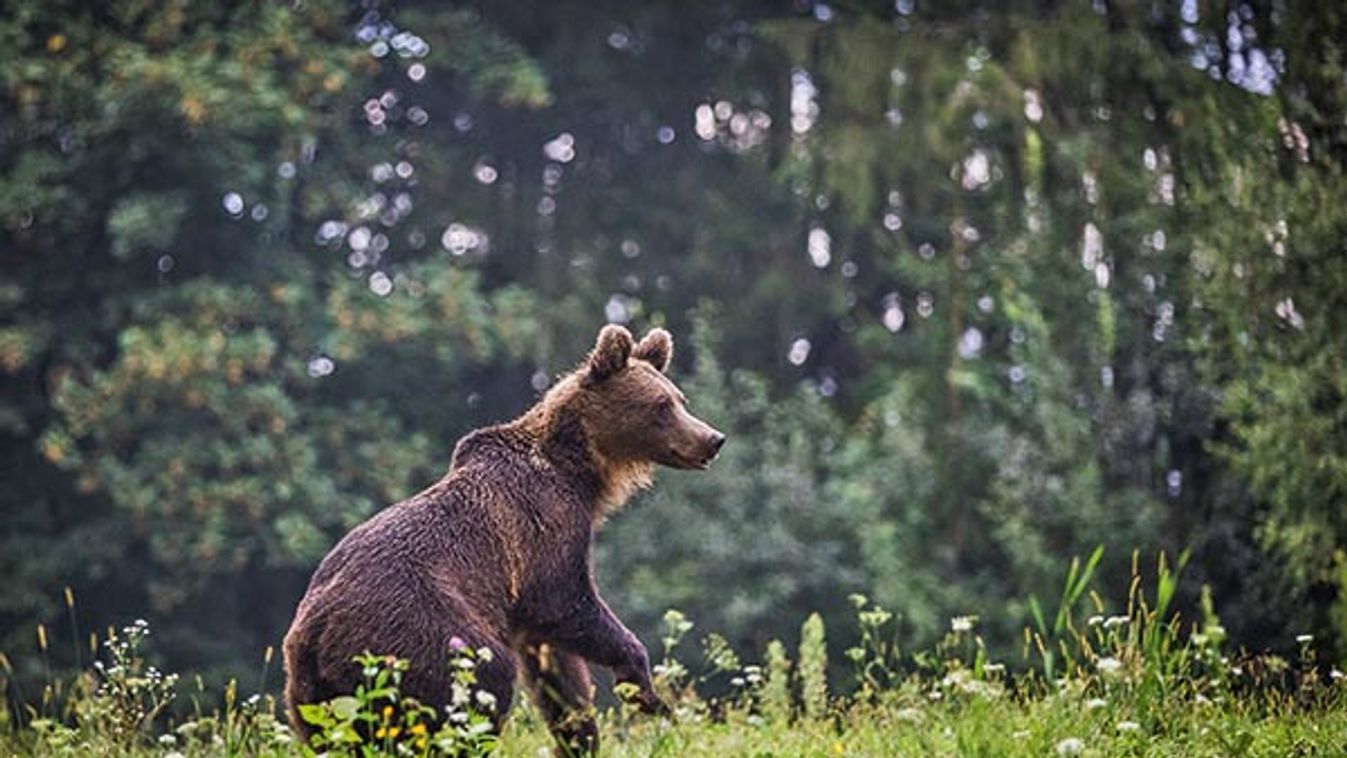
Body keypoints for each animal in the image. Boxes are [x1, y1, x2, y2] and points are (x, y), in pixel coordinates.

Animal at [284, 324, 727, 753]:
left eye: (680, 399)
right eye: (661, 405)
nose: (712, 439)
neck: (581, 471)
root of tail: (311, 634)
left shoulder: (528, 606)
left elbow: (558, 669)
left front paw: (581, 734)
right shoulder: (545, 530)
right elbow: (566, 601)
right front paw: (642, 685)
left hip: (313, 697)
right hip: (417, 631)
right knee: (482, 681)